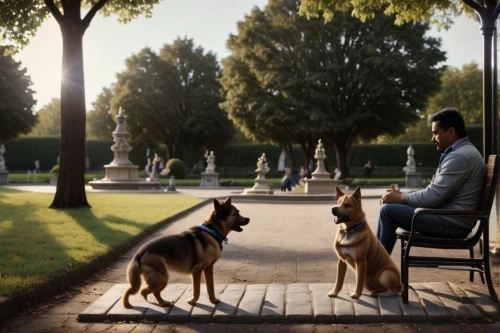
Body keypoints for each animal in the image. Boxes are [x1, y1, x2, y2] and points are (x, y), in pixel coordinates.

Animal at [121, 196, 250, 308]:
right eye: (235, 213)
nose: (248, 219)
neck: (212, 231)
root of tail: (139, 253)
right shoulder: (197, 270)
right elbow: (197, 290)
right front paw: (192, 301)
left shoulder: (208, 268)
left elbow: (211, 287)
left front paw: (213, 301)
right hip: (162, 278)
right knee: (146, 291)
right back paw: (160, 302)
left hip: (159, 278)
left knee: (149, 291)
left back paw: (161, 302)